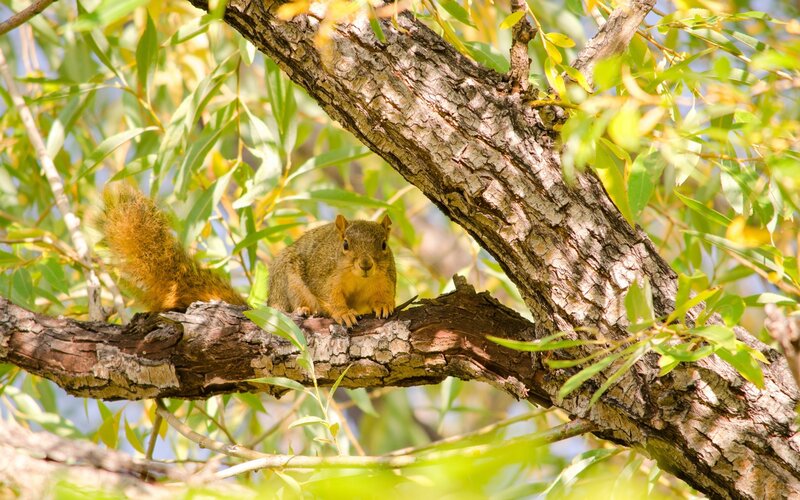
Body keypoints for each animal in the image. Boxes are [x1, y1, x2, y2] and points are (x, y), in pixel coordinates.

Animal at [100, 184, 396, 325]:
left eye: (384, 245)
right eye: (345, 245)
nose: (366, 265)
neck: (359, 280)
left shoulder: (386, 278)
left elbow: (383, 296)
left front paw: (383, 305)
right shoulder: (324, 275)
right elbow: (329, 296)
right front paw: (343, 313)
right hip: (286, 282)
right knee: (287, 305)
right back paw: (302, 309)